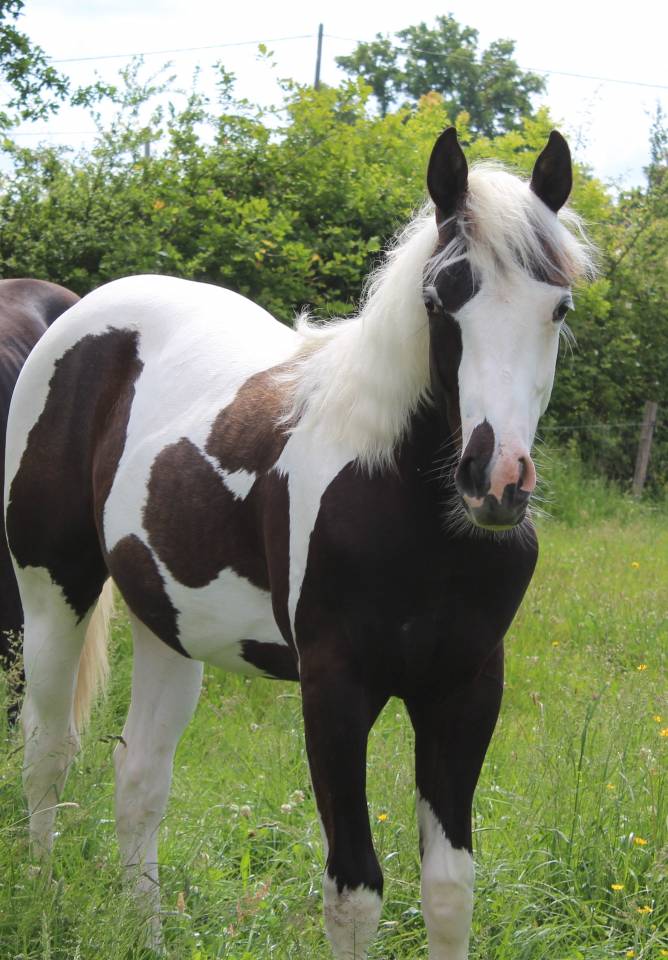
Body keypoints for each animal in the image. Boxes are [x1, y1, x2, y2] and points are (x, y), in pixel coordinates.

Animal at [5, 128, 594, 959]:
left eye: (558, 305)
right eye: (442, 298)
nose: (497, 480)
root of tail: (81, 313)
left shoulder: (466, 689)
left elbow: (449, 890)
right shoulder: (336, 690)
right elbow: (354, 891)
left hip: (166, 622)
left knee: (140, 780)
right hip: (53, 589)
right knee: (48, 750)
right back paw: (44, 898)